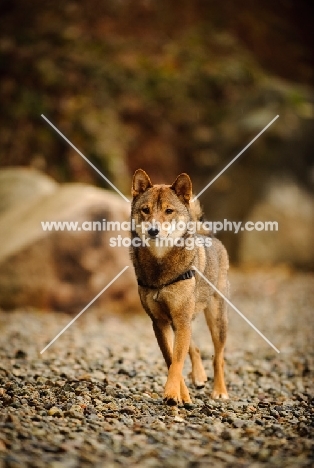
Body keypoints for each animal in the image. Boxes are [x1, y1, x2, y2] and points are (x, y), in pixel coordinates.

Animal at [129, 169, 229, 406]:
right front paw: (182, 394)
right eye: (145, 210)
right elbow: (171, 358)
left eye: (168, 211)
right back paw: (199, 377)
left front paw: (173, 394)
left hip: (216, 319)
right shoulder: (160, 322)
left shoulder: (180, 320)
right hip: (181, 322)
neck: (160, 267)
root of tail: (208, 235)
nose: (153, 231)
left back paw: (220, 391)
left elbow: (177, 361)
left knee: (218, 357)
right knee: (195, 348)